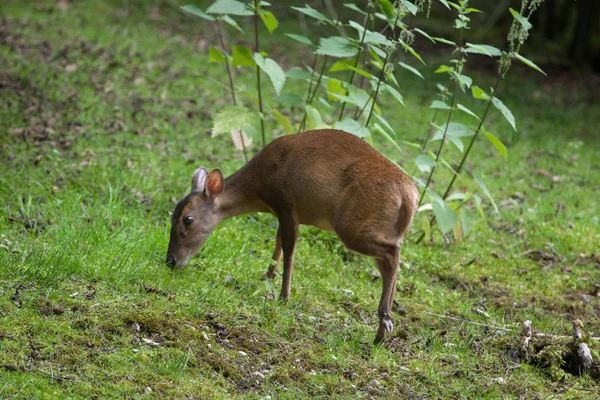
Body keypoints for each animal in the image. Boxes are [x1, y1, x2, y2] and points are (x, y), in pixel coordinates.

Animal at [164, 129, 418, 344]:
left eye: (187, 219)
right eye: (173, 213)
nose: (170, 260)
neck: (260, 186)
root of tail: (409, 197)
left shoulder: (285, 203)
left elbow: (289, 250)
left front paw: (283, 296)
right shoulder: (286, 212)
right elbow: (278, 241)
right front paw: (267, 275)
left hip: (351, 226)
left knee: (392, 253)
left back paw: (384, 318)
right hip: (377, 229)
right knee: (390, 264)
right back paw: (381, 332)